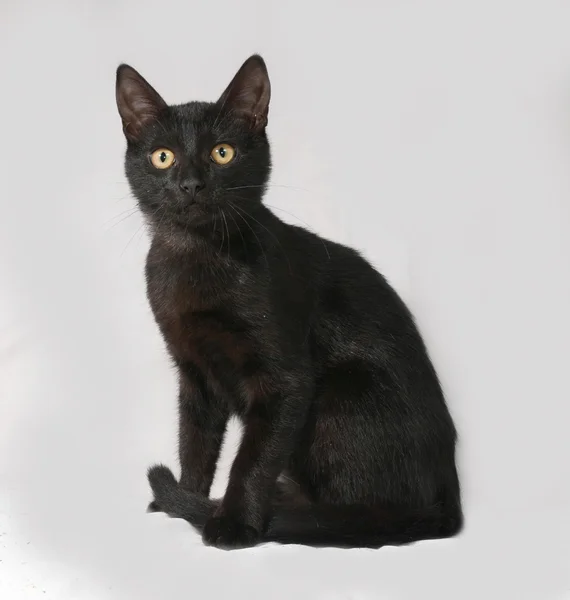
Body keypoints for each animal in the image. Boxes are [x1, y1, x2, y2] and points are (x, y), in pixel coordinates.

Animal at [115, 55, 462, 548]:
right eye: (163, 157)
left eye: (223, 153)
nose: (190, 185)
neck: (197, 257)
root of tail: (449, 494)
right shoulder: (193, 372)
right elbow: (193, 443)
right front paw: (185, 498)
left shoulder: (286, 380)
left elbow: (252, 459)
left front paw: (231, 523)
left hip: (343, 394)